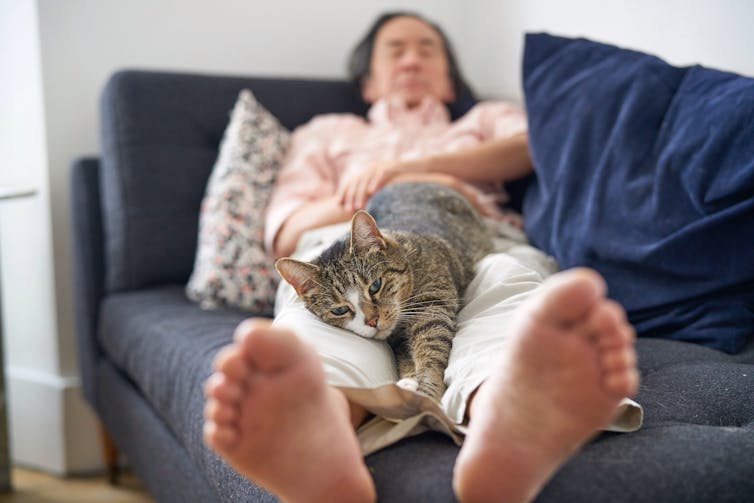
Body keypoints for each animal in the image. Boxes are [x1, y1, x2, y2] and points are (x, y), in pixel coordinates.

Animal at [274, 182, 490, 402]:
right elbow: (405, 358)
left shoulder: (432, 305)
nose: (372, 321)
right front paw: (408, 383)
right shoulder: (398, 341)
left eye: (375, 286)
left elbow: (431, 345)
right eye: (339, 310)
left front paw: (426, 393)